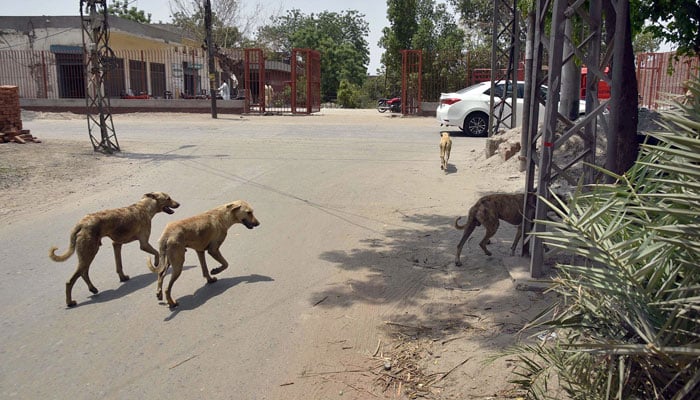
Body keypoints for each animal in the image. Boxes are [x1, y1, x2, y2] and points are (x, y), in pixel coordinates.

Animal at [48, 192, 180, 308]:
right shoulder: (144, 244)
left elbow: (119, 265)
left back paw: (92, 289)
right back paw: (70, 302)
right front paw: (157, 263)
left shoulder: (116, 244)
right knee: (71, 280)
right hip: (90, 252)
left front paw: (123, 278)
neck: (144, 206)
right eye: (168, 198)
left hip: (88, 253)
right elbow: (156, 253)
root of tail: (81, 223)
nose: (178, 204)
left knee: (84, 273)